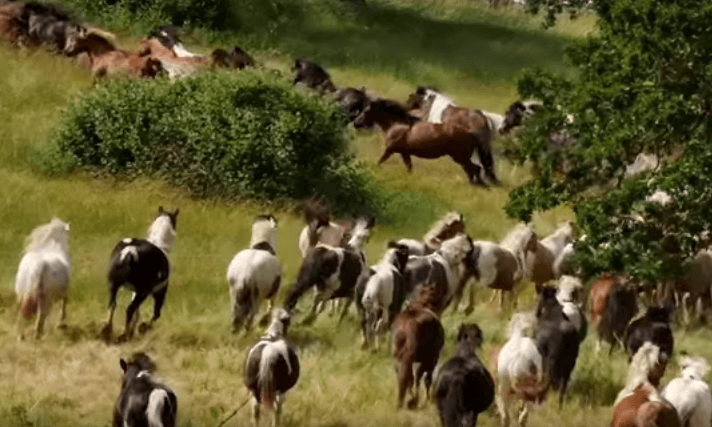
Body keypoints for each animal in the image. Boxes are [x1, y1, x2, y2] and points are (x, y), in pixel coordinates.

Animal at [101, 206, 179, 342]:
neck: (159, 243)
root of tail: (130, 252)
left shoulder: (135, 291)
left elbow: (138, 313)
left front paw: (133, 331)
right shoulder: (159, 292)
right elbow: (156, 314)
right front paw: (143, 328)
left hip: (113, 286)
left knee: (112, 305)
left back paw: (107, 331)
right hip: (144, 292)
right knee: (130, 309)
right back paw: (123, 335)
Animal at [353, 99, 493, 186]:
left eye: (366, 111)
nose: (355, 123)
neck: (396, 125)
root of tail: (470, 133)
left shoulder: (391, 149)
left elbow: (380, 161)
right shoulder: (405, 153)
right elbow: (409, 168)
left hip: (459, 157)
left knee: (473, 169)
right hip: (461, 158)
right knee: (475, 168)